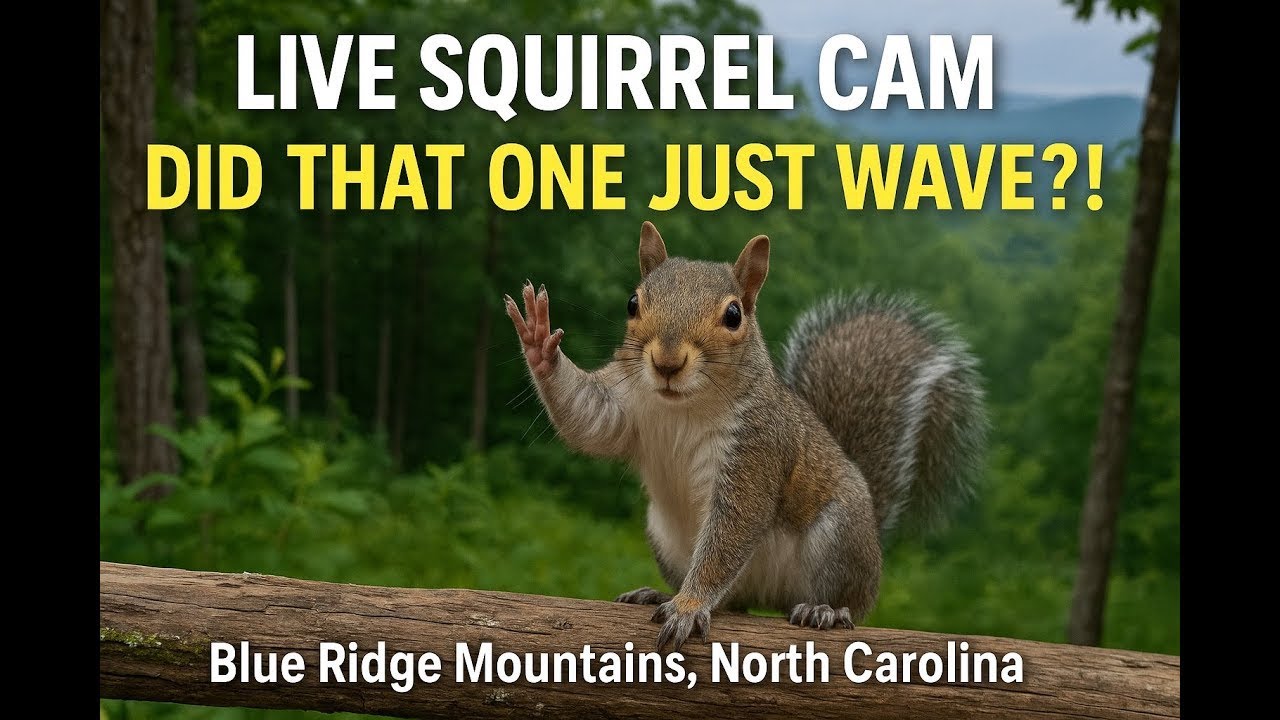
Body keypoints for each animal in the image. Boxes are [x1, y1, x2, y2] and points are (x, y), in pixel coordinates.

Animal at [504, 221, 987, 650]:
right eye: (632, 303)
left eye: (733, 315)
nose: (667, 362)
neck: (683, 407)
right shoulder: (624, 404)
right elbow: (588, 420)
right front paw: (539, 341)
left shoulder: (758, 447)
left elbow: (734, 528)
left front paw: (689, 607)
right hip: (666, 536)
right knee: (732, 601)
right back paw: (663, 593)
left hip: (839, 537)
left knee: (848, 598)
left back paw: (825, 610)